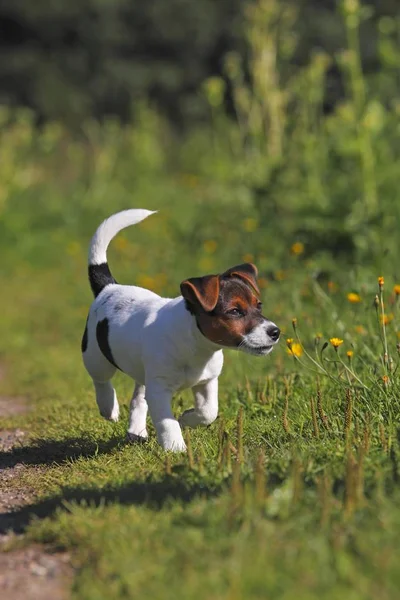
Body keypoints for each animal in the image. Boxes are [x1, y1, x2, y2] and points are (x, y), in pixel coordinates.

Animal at [82, 210, 282, 450]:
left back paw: (136, 430)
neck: (196, 346)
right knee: (101, 380)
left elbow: (208, 412)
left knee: (138, 397)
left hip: (143, 371)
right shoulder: (159, 390)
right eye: (234, 311)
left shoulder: (207, 382)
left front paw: (187, 418)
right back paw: (108, 407)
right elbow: (167, 422)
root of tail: (109, 287)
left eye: (259, 305)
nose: (275, 332)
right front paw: (175, 448)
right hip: (95, 356)